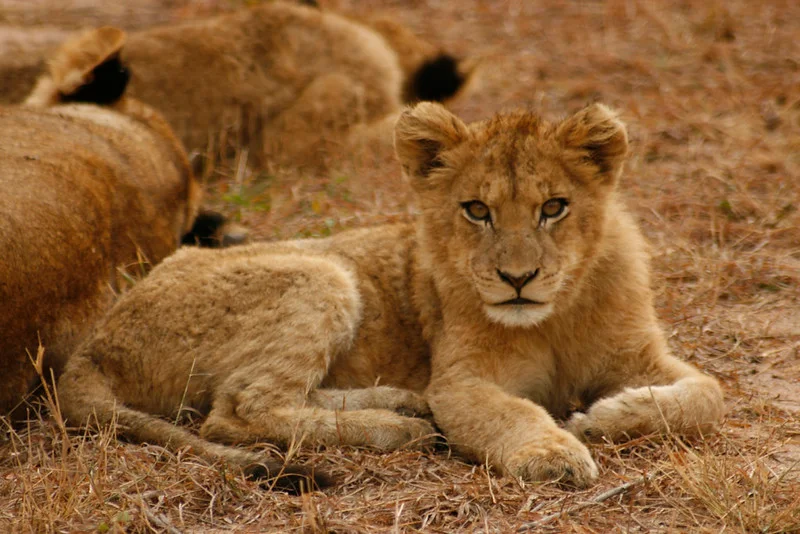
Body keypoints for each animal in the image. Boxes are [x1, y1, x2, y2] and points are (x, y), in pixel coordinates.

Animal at [57, 102, 724, 487]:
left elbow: (710, 395)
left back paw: (401, 402)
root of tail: (94, 342)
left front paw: (608, 416)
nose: (517, 280)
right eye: (477, 210)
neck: (554, 316)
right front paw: (554, 453)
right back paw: (400, 429)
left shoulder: (639, 357)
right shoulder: (460, 380)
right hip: (322, 273)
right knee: (238, 409)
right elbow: (511, 413)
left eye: (554, 207)